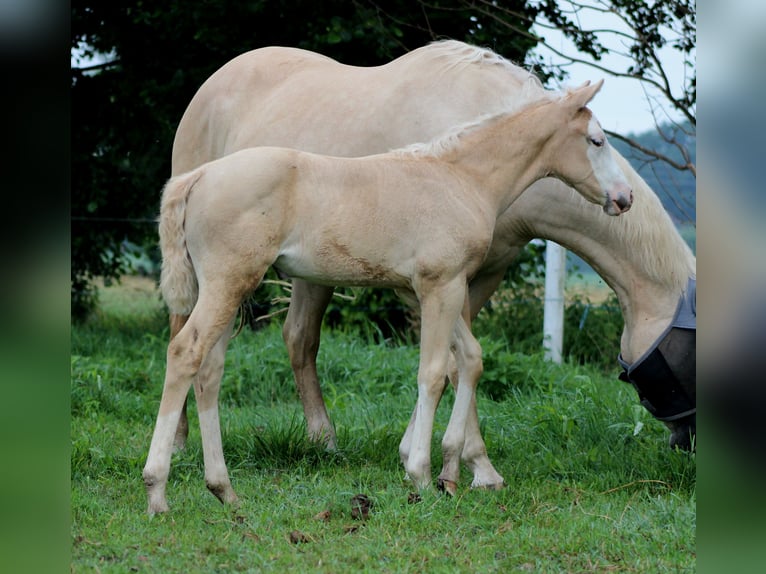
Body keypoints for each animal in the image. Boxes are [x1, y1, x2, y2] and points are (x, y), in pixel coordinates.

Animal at [168, 41, 696, 487]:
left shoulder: (476, 276)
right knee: (185, 336)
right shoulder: (432, 282)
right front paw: (466, 467)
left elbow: (462, 361)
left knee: (295, 340)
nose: (623, 198)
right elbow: (449, 367)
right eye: (597, 140)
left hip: (300, 273)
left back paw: (322, 441)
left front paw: (441, 460)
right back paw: (179, 445)